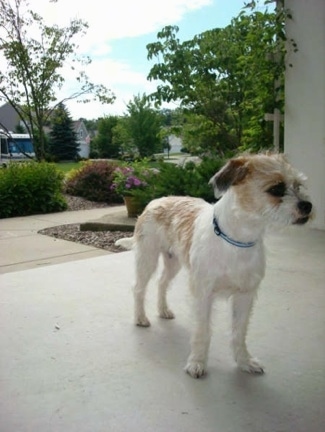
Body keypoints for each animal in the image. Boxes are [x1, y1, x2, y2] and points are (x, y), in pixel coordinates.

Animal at [116, 154, 312, 378]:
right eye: (276, 188)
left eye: (298, 185)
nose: (307, 206)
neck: (236, 241)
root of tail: (157, 200)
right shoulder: (203, 295)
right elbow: (202, 332)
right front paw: (197, 362)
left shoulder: (245, 297)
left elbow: (239, 333)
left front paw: (244, 362)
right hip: (147, 258)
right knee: (139, 288)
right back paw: (140, 318)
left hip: (173, 262)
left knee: (162, 283)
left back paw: (163, 310)